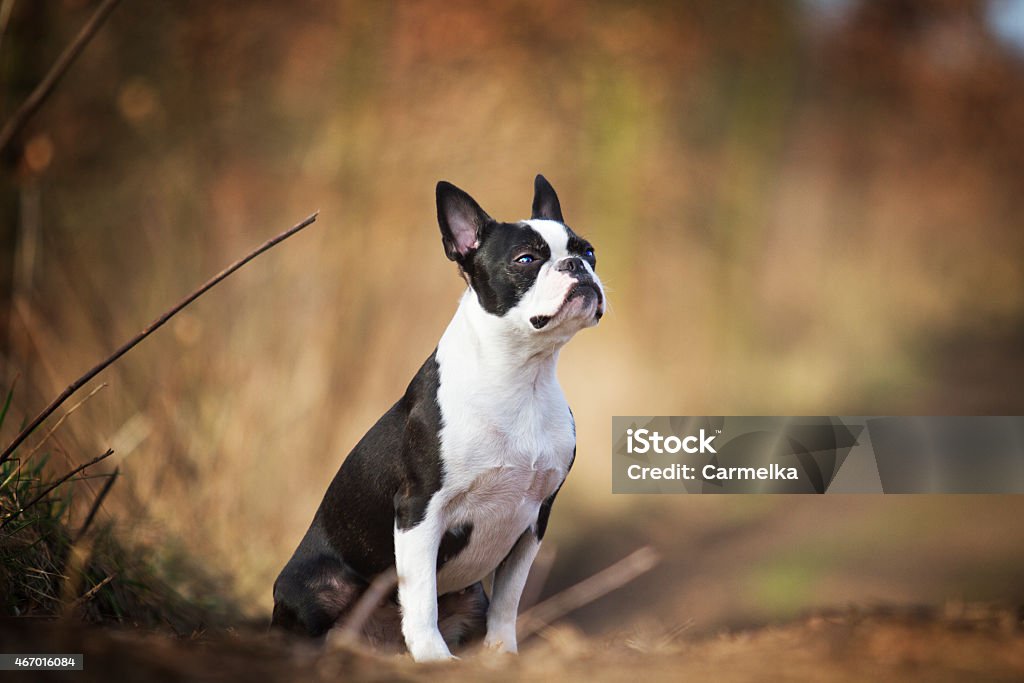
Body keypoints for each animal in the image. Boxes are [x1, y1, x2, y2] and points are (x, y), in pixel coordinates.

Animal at [272, 175, 606, 663]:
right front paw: (433, 658)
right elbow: (421, 594)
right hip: (317, 585)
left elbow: (508, 599)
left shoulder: (535, 518)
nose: (577, 266)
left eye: (589, 251)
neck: (522, 377)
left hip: (470, 595)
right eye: (526, 259)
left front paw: (501, 656)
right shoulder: (420, 509)